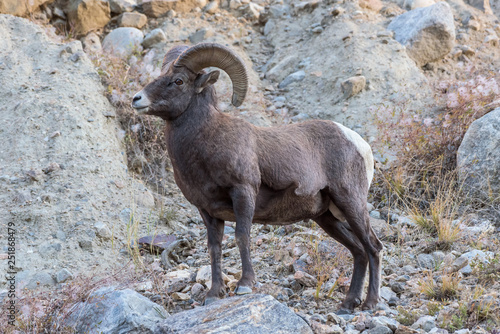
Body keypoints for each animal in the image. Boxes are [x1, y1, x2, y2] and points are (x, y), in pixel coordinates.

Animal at [132, 42, 382, 310]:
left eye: (178, 81)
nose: (137, 99)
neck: (207, 140)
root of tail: (359, 144)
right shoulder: (207, 210)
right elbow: (214, 248)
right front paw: (214, 294)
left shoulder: (243, 193)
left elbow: (242, 237)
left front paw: (244, 285)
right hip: (327, 218)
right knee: (358, 250)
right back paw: (349, 303)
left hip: (350, 202)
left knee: (373, 247)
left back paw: (370, 303)